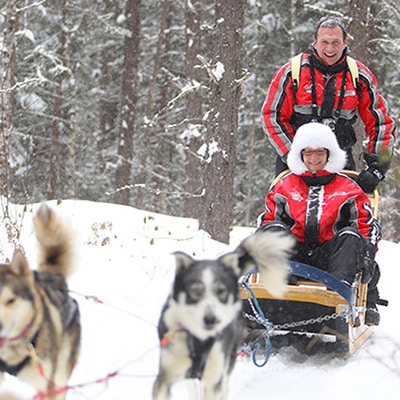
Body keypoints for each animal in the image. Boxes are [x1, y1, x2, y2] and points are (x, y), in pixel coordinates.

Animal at [153, 231, 294, 400]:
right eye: (195, 291)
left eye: (221, 291)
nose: (211, 319)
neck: (199, 339)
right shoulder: (165, 376)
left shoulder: (214, 378)